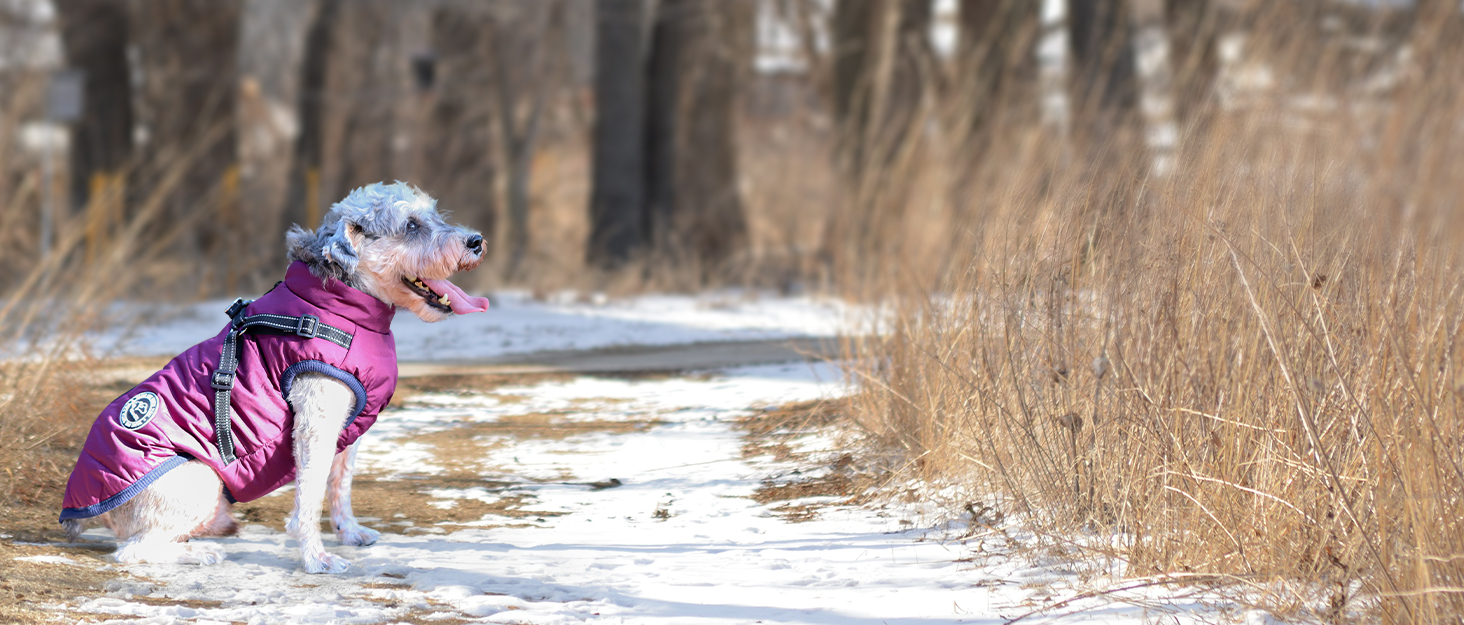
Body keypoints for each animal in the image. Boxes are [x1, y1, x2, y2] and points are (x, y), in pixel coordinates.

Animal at [58, 180, 491, 573]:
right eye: (411, 225)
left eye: (434, 213)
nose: (477, 241)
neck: (342, 305)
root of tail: (78, 508)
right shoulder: (316, 423)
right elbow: (312, 494)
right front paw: (317, 558)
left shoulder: (347, 430)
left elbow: (340, 486)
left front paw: (349, 532)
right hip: (198, 478)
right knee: (133, 549)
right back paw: (200, 552)